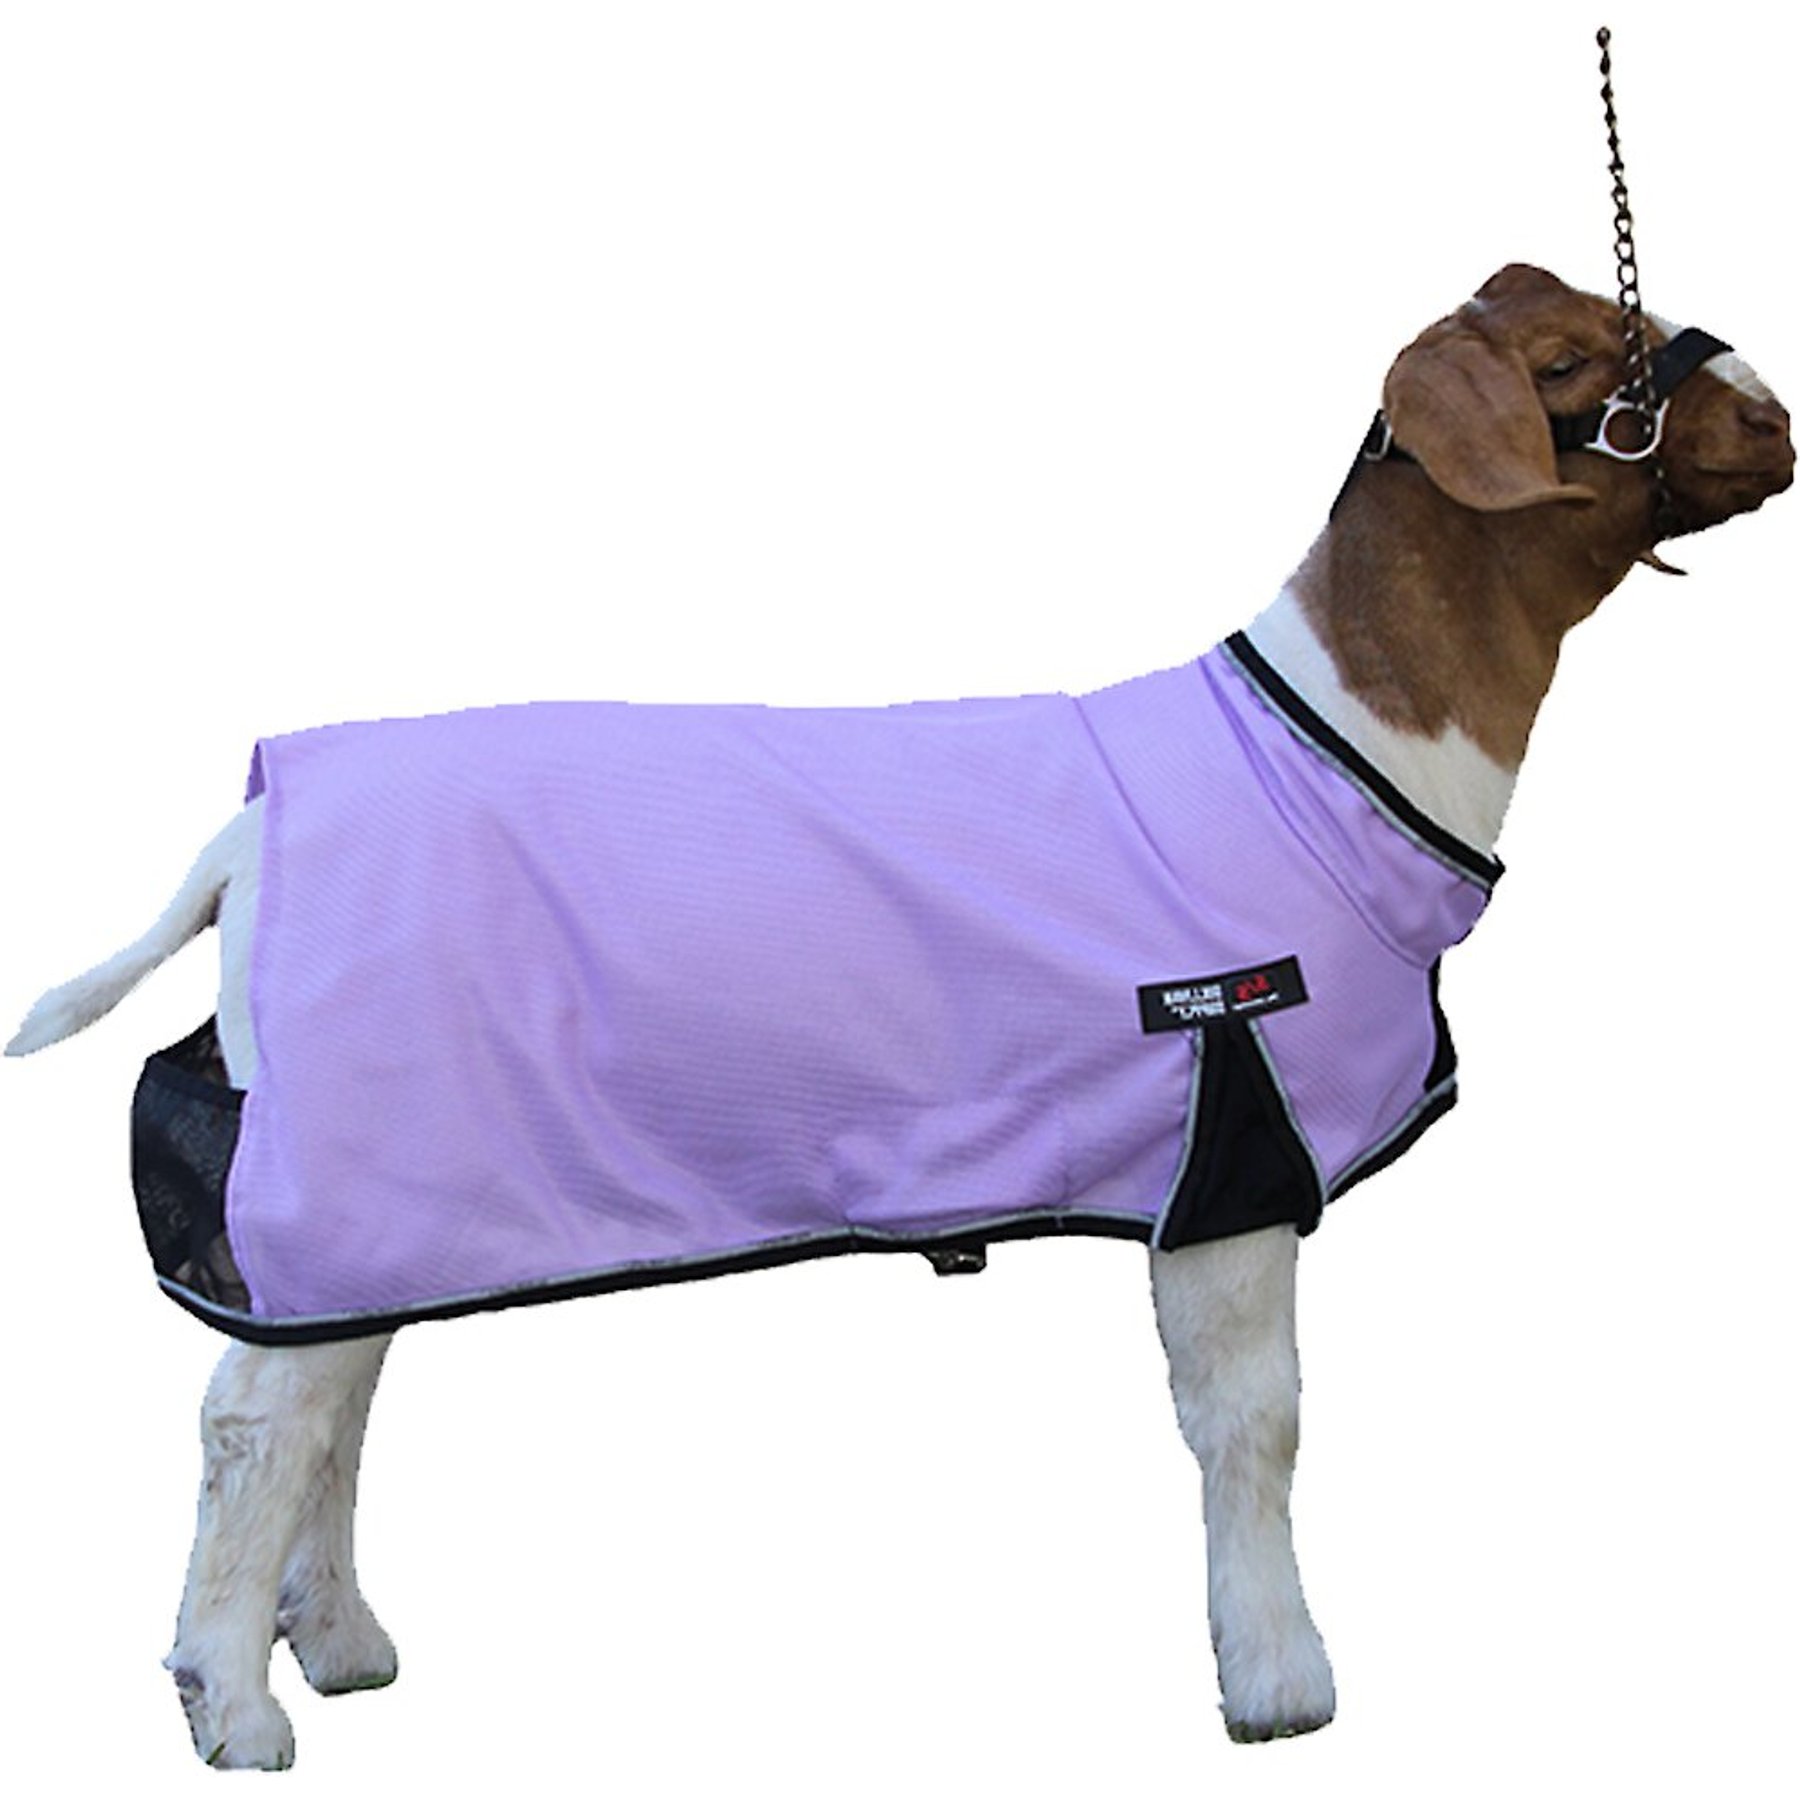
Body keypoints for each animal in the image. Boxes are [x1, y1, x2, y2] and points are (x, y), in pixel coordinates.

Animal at [6, 264, 1791, 1769]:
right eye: (1568, 365)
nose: (1774, 411)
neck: (1335, 757)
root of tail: (250, 834)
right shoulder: (1230, 1146)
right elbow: (1255, 1427)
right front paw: (1282, 1683)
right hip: (351, 1152)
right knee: (256, 1423)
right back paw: (232, 1700)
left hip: (380, 1188)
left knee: (334, 1394)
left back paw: (339, 1643)